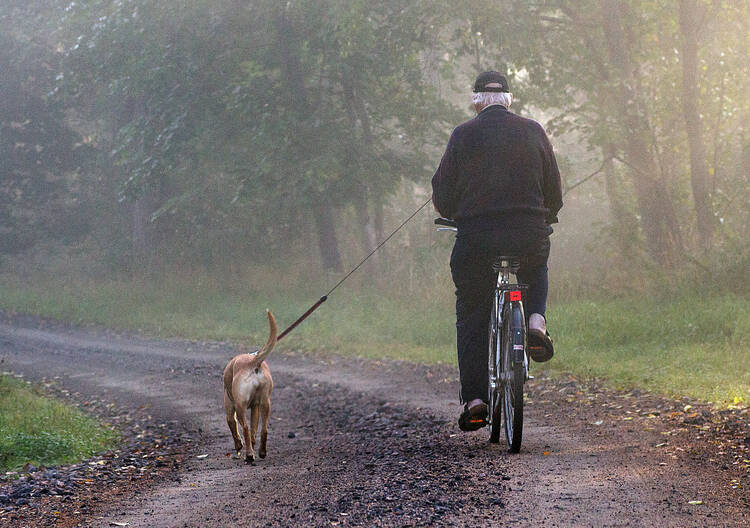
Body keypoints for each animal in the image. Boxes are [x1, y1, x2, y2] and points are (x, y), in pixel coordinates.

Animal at [223, 310, 277, 464]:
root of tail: (254, 361)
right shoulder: (255, 407)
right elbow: (254, 432)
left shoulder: (230, 408)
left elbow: (233, 427)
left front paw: (239, 446)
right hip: (265, 403)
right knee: (263, 429)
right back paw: (261, 452)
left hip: (239, 407)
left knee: (245, 429)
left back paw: (249, 455)